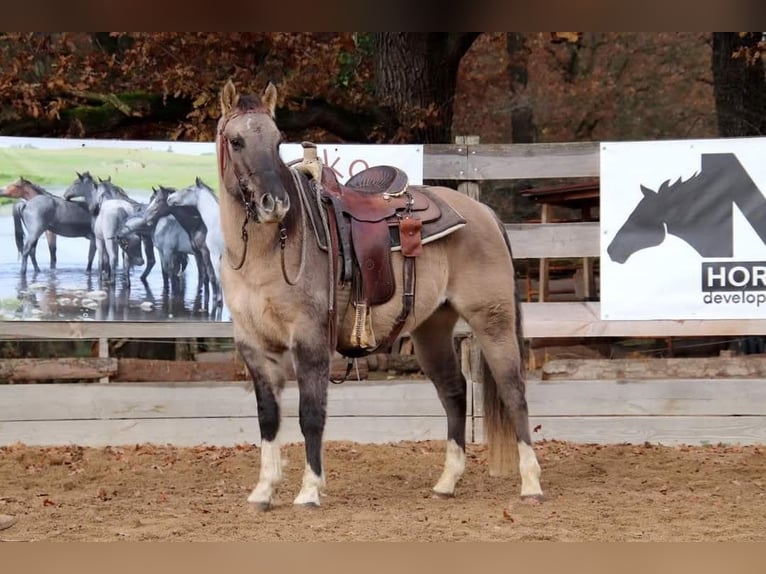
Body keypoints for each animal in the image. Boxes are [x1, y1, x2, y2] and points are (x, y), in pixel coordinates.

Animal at [215, 80, 543, 511]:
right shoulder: (254, 345)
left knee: (514, 391)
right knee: (454, 391)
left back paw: (531, 484)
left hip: (493, 320)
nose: (275, 203)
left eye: (277, 140)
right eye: (236, 141)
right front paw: (264, 490)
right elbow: (268, 416)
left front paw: (309, 490)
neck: (267, 250)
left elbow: (310, 414)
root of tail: (483, 212)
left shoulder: (310, 339)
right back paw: (447, 482)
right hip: (432, 330)